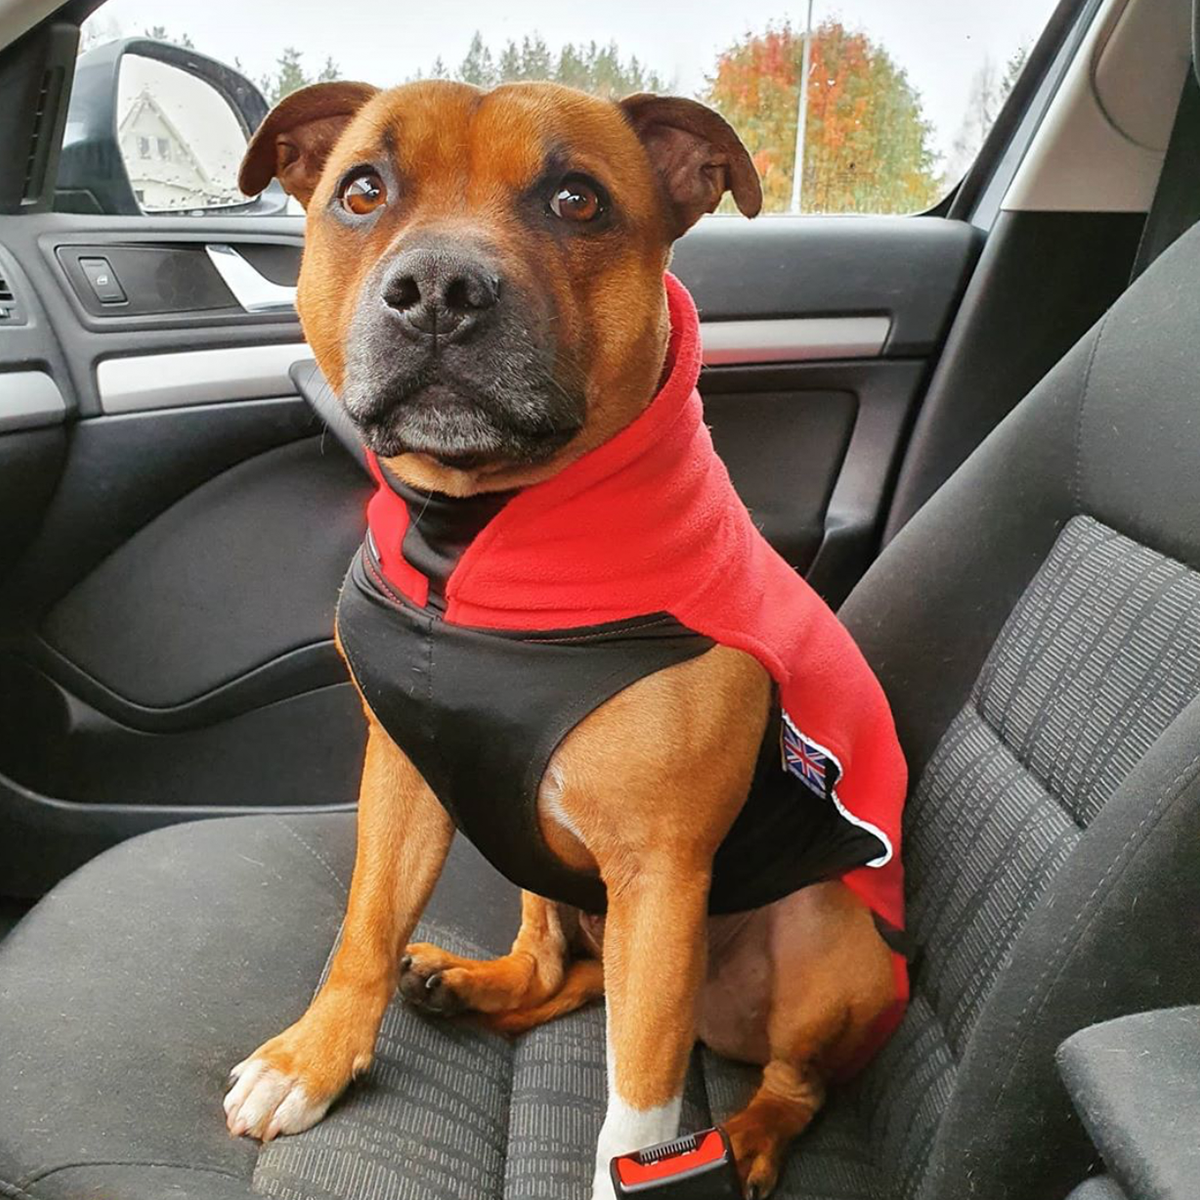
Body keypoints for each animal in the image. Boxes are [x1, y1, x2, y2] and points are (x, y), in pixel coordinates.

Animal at [220, 79, 902, 1195]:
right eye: (362, 190)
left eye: (577, 199)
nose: (439, 286)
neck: (472, 543)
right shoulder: (405, 774)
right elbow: (365, 926)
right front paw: (312, 1059)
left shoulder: (661, 878)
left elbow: (639, 1106)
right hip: (530, 854)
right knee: (562, 969)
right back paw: (471, 986)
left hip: (825, 940)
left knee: (780, 1076)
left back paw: (752, 1138)